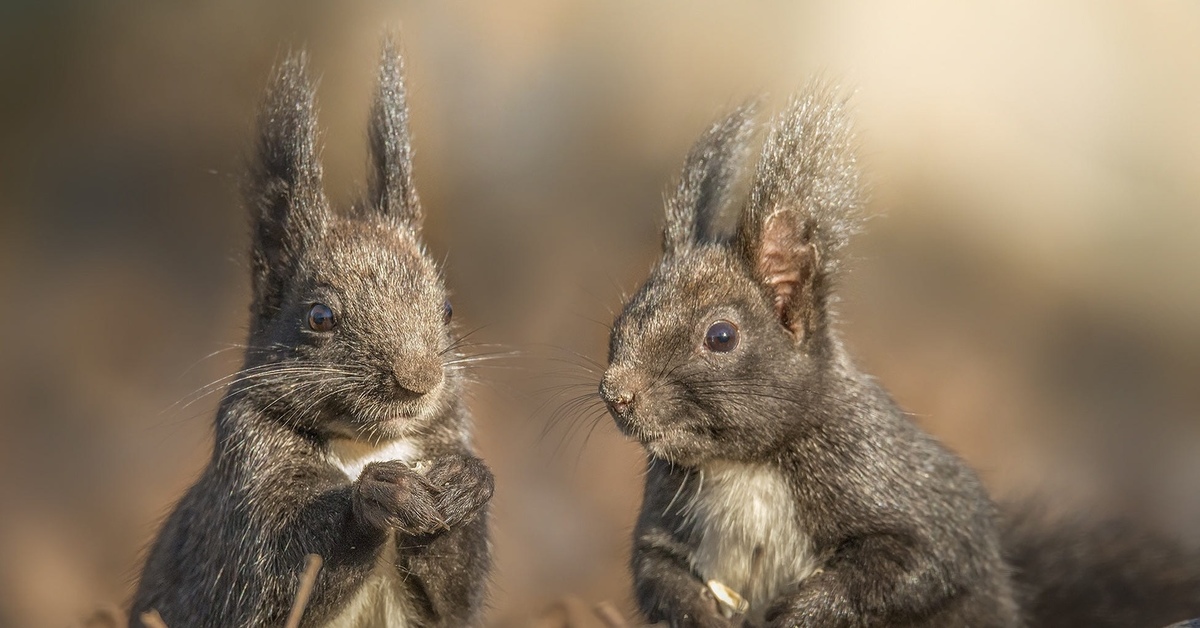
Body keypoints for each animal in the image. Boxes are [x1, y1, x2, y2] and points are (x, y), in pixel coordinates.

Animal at [127, 40, 492, 628]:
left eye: (448, 309)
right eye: (320, 317)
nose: (420, 380)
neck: (366, 446)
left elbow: (451, 600)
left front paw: (468, 483)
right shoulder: (247, 483)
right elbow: (280, 574)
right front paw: (380, 496)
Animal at [597, 88, 1200, 628]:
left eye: (720, 336)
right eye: (624, 314)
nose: (616, 393)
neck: (742, 466)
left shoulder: (890, 480)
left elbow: (919, 560)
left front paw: (801, 613)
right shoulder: (666, 511)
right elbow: (654, 569)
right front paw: (697, 611)